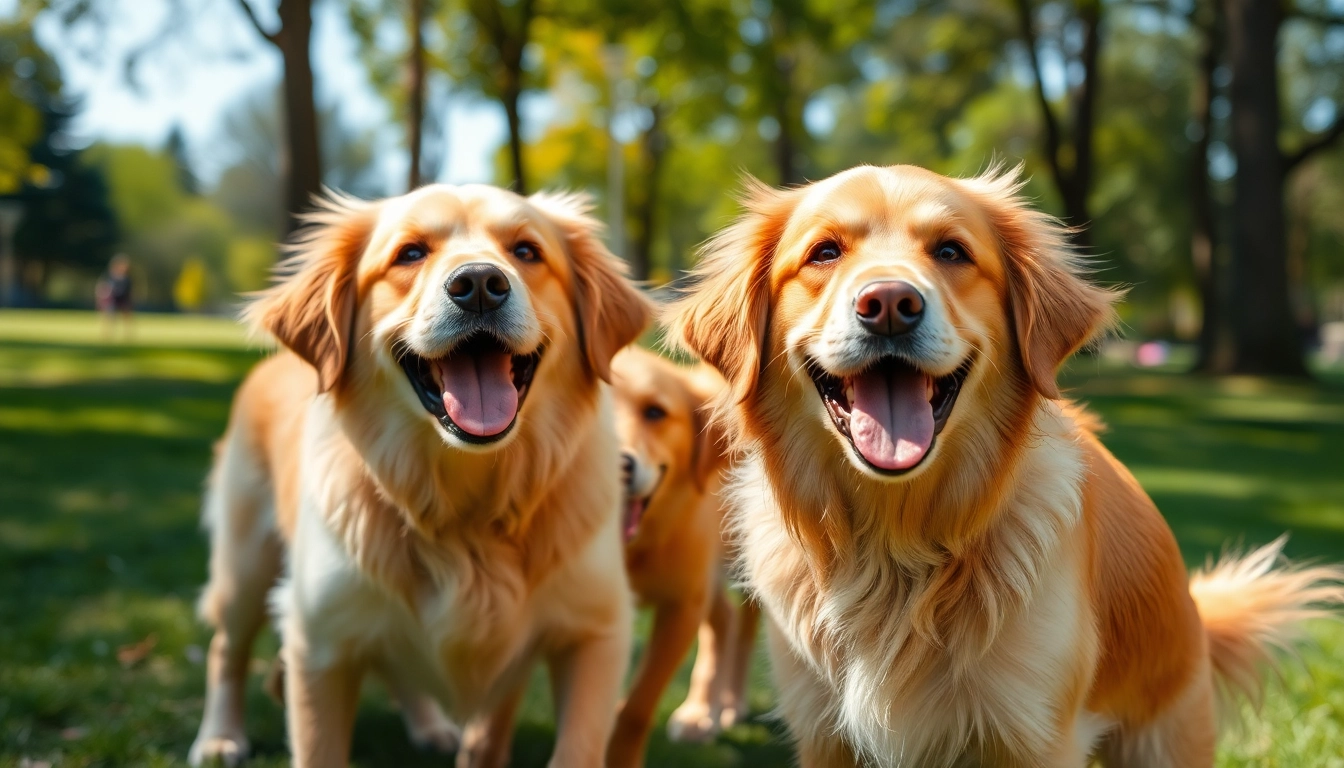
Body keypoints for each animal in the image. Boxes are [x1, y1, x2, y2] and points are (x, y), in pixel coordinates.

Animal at [190, 184, 650, 768]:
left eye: (526, 251)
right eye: (410, 253)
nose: (480, 286)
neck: (468, 510)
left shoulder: (596, 632)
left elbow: (579, 747)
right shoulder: (319, 642)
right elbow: (318, 741)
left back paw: (431, 726)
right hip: (246, 562)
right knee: (226, 647)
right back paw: (219, 736)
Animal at [604, 349, 763, 768]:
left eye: (655, 413)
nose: (617, 466)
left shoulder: (681, 606)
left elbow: (637, 709)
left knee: (745, 623)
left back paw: (728, 703)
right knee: (724, 617)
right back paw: (702, 712)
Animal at [666, 165, 1338, 763]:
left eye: (951, 251)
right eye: (824, 252)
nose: (889, 303)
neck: (897, 551)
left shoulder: (1032, 732)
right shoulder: (823, 733)